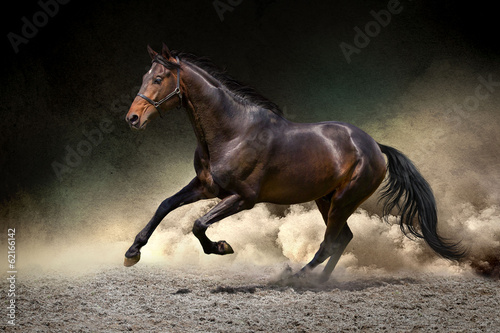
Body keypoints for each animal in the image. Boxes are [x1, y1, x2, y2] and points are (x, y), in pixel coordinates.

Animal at [123, 42, 466, 280]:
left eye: (159, 78)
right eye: (144, 76)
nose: (132, 118)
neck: (232, 132)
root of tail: (374, 146)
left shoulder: (242, 198)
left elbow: (198, 224)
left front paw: (222, 247)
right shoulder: (206, 187)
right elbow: (165, 205)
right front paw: (132, 252)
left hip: (344, 200)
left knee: (330, 242)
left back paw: (298, 277)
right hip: (326, 199)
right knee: (343, 238)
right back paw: (322, 282)